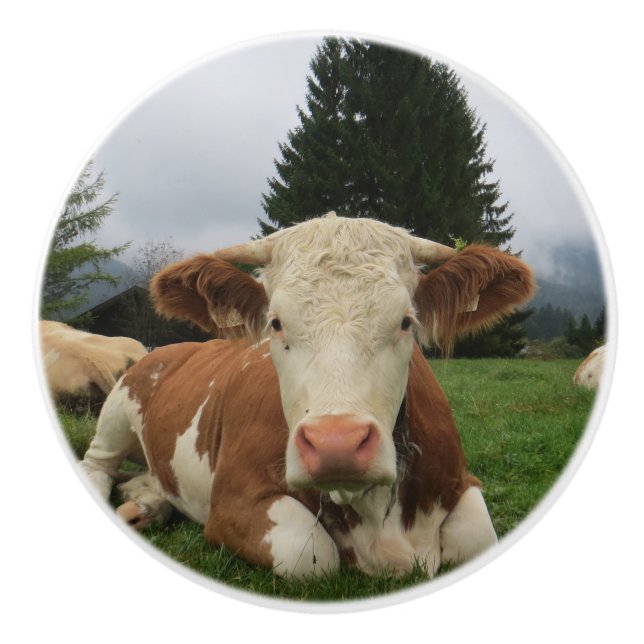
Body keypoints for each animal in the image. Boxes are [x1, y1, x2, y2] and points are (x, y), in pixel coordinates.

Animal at [80, 213, 535, 578]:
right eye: (276, 323)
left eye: (407, 321)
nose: (337, 444)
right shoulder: (231, 504)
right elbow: (309, 552)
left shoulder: (462, 481)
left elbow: (476, 537)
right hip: (117, 411)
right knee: (97, 467)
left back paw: (146, 503)